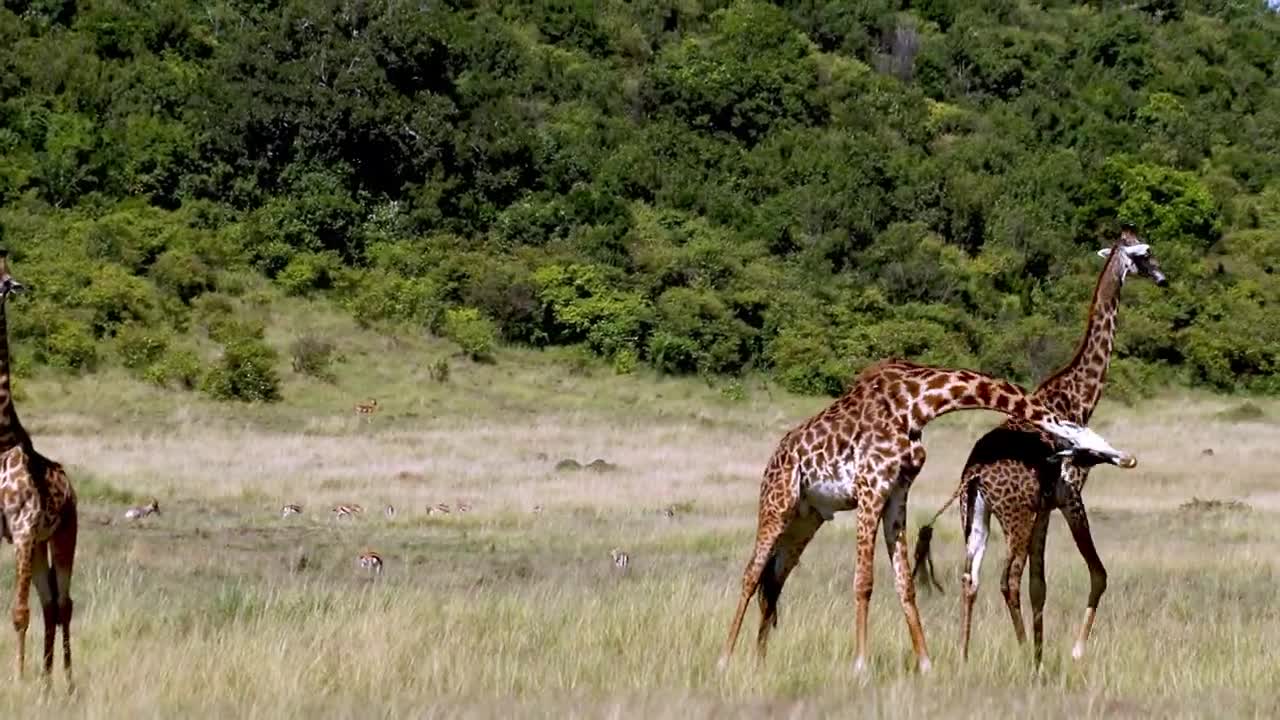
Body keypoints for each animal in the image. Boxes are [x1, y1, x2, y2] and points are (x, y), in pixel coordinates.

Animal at [711, 358, 1141, 671]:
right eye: (1090, 447)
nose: (1128, 458)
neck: (917, 403)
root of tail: (775, 456)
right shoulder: (870, 488)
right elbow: (864, 581)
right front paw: (861, 666)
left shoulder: (896, 495)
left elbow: (905, 583)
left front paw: (926, 663)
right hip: (777, 503)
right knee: (751, 574)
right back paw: (725, 659)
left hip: (807, 517)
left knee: (774, 580)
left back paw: (760, 659)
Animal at [911, 226, 1172, 666]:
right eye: (1145, 254)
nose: (1163, 278)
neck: (1076, 396)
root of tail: (974, 474)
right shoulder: (1071, 496)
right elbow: (1097, 574)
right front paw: (1071, 652)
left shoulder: (1045, 508)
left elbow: (1041, 586)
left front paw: (1040, 654)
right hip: (1014, 515)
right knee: (1006, 579)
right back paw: (1017, 652)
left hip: (977, 515)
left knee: (970, 576)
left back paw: (964, 655)